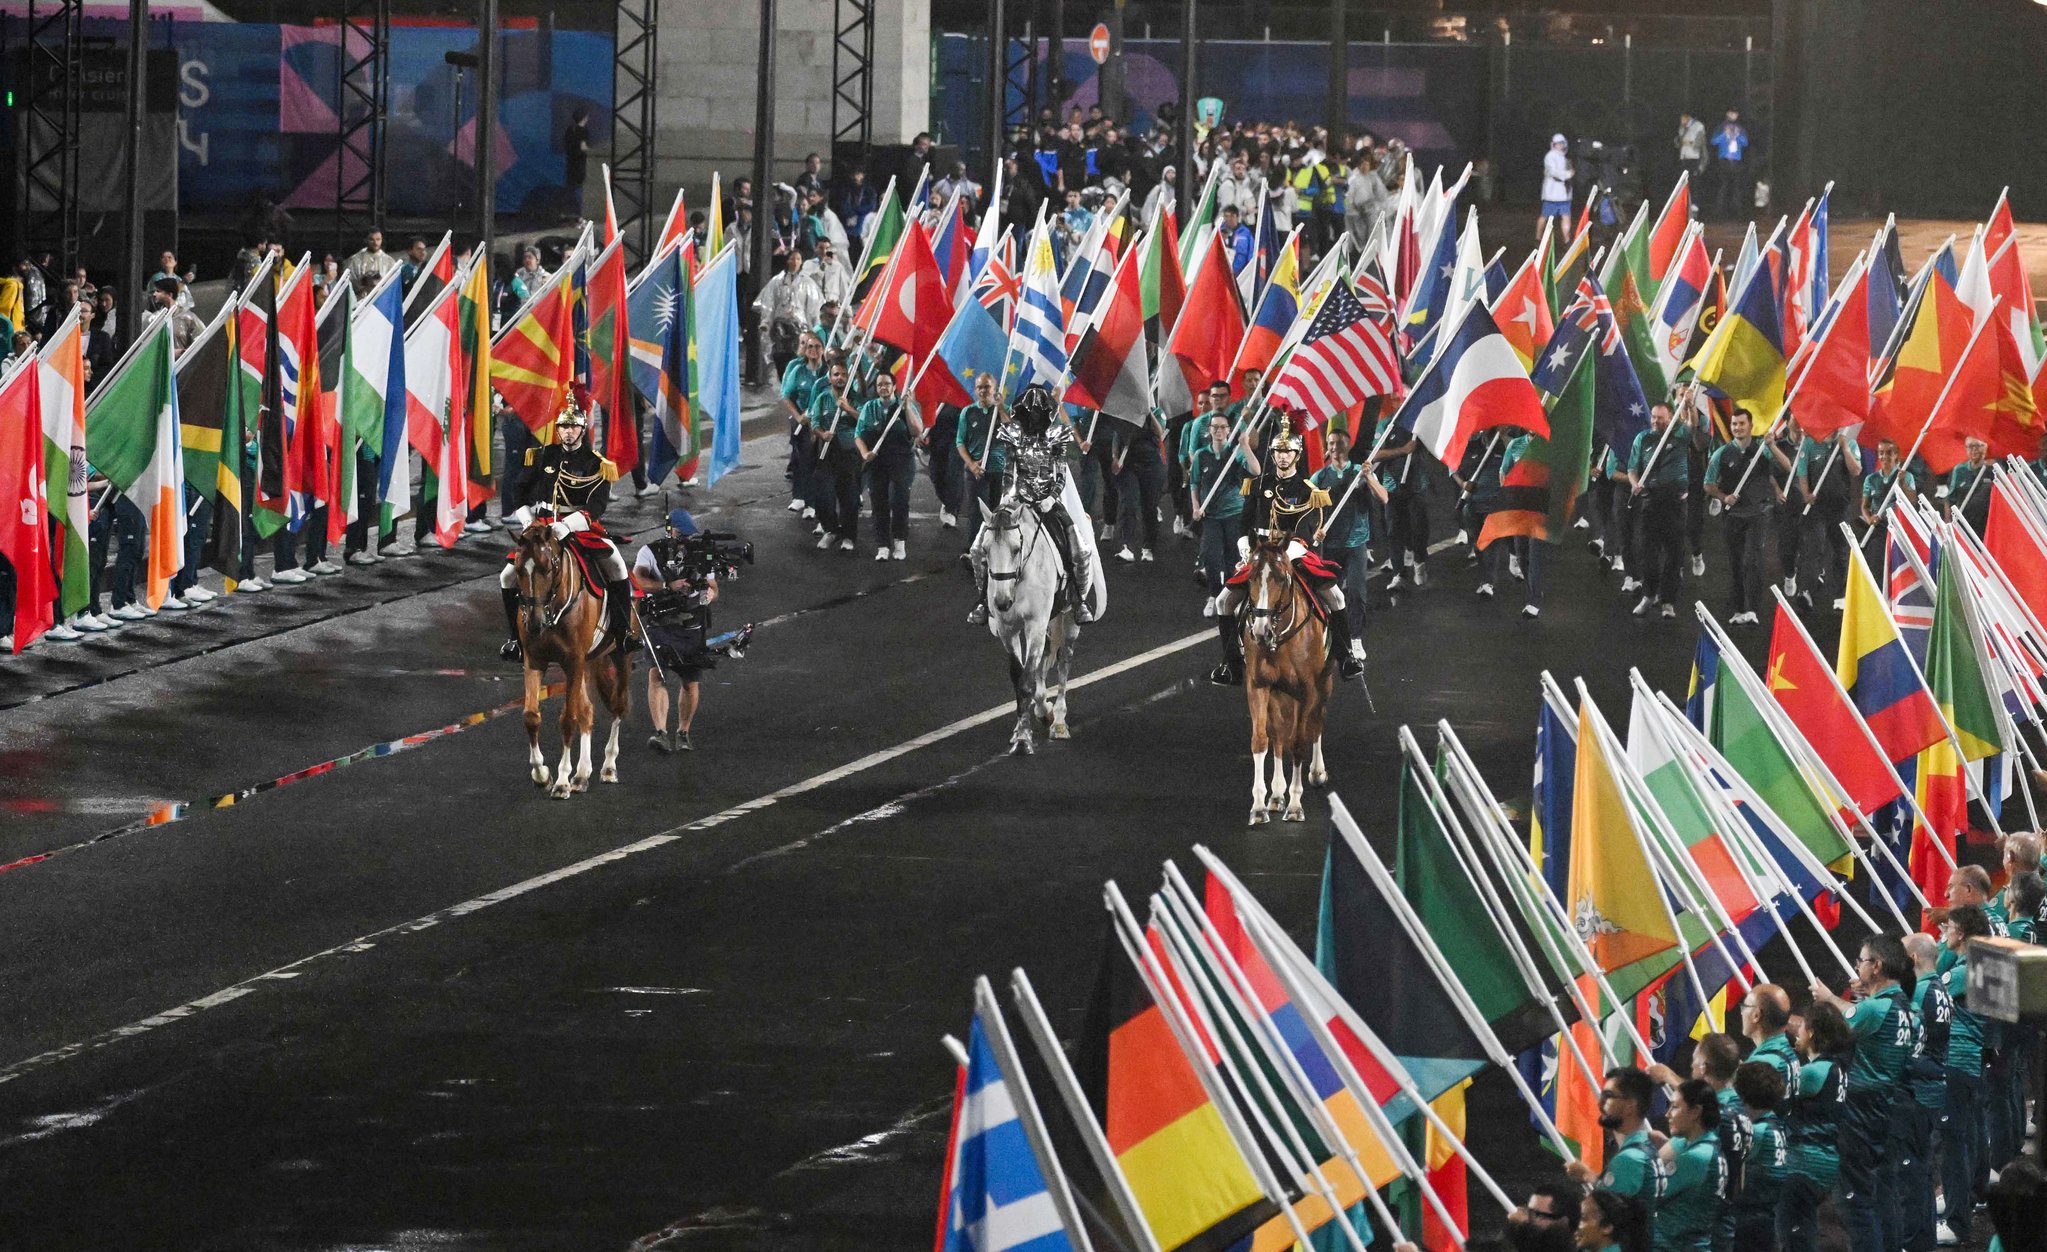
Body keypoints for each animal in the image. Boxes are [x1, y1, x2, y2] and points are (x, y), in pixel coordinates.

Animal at [511, 523, 630, 797]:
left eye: (548, 567)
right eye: (519, 569)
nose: (534, 623)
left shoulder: (573, 662)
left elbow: (568, 719)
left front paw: (562, 780)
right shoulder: (535, 660)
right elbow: (531, 716)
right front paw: (542, 774)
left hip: (619, 655)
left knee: (618, 705)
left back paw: (608, 766)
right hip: (587, 663)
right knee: (587, 711)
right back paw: (582, 774)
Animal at [974, 488, 1105, 752]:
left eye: (1016, 548)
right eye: (986, 550)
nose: (1002, 602)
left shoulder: (1035, 623)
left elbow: (1027, 679)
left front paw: (1024, 740)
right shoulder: (1009, 629)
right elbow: (1020, 676)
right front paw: (1022, 728)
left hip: (1069, 618)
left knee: (1064, 661)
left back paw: (1059, 723)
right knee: (1042, 661)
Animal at [1236, 535, 1334, 822]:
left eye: (1281, 577)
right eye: (1251, 577)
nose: (1260, 631)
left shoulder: (1307, 691)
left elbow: (1299, 743)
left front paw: (1295, 805)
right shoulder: (1258, 686)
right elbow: (1262, 739)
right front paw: (1259, 805)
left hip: (1324, 684)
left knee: (1316, 721)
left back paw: (1316, 772)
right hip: (1279, 692)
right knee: (1279, 734)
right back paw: (1277, 795)